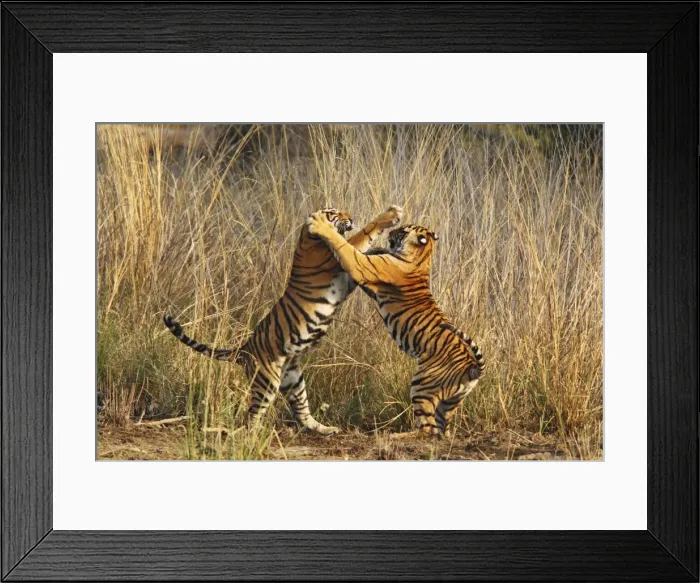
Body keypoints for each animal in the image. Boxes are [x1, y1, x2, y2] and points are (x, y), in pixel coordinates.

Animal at [164, 205, 403, 435]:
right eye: (334, 212)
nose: (351, 218)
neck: (306, 237)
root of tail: (243, 349)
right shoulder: (335, 260)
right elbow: (361, 238)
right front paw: (390, 216)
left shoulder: (347, 277)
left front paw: (381, 251)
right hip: (266, 381)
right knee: (252, 415)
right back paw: (257, 434)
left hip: (293, 380)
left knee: (303, 413)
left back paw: (326, 429)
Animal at [306, 212, 485, 437]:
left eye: (402, 231)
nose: (391, 233)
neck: (423, 258)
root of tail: (472, 368)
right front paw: (375, 243)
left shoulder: (363, 267)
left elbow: (345, 248)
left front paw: (321, 226)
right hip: (450, 402)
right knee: (439, 429)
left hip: (422, 385)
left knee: (426, 429)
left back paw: (396, 435)